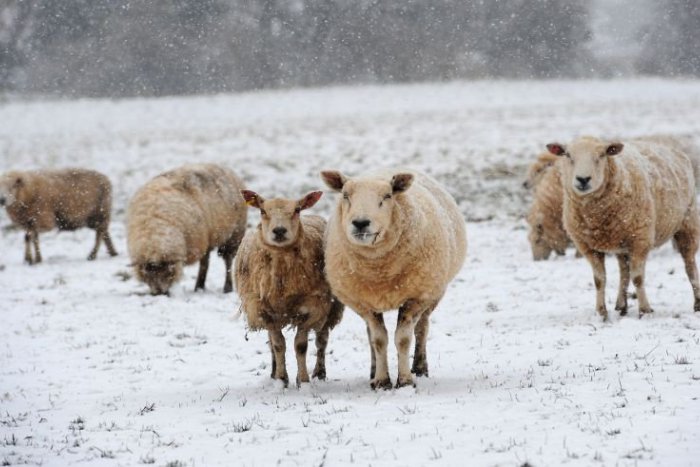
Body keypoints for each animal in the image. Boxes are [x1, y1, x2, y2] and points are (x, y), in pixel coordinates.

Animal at [127, 165, 247, 296]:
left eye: (167, 272)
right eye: (147, 274)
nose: (159, 293)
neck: (155, 231)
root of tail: (226, 169)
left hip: (234, 233)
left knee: (227, 261)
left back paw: (227, 288)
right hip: (207, 237)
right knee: (205, 261)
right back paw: (199, 287)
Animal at [322, 170, 464, 390]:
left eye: (387, 196)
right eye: (345, 195)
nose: (360, 223)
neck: (379, 272)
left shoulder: (415, 298)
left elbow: (403, 339)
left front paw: (405, 380)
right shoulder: (364, 303)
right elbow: (379, 340)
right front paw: (381, 380)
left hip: (433, 292)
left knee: (422, 329)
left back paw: (420, 368)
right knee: (371, 335)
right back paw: (373, 371)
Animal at [548, 133, 700, 320]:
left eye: (602, 155)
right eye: (568, 155)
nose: (583, 179)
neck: (595, 216)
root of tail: (673, 148)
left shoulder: (640, 240)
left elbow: (638, 278)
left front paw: (645, 310)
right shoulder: (588, 247)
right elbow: (599, 280)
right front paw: (601, 312)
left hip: (688, 223)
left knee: (690, 265)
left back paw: (697, 303)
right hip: (621, 241)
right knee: (624, 271)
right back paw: (621, 305)